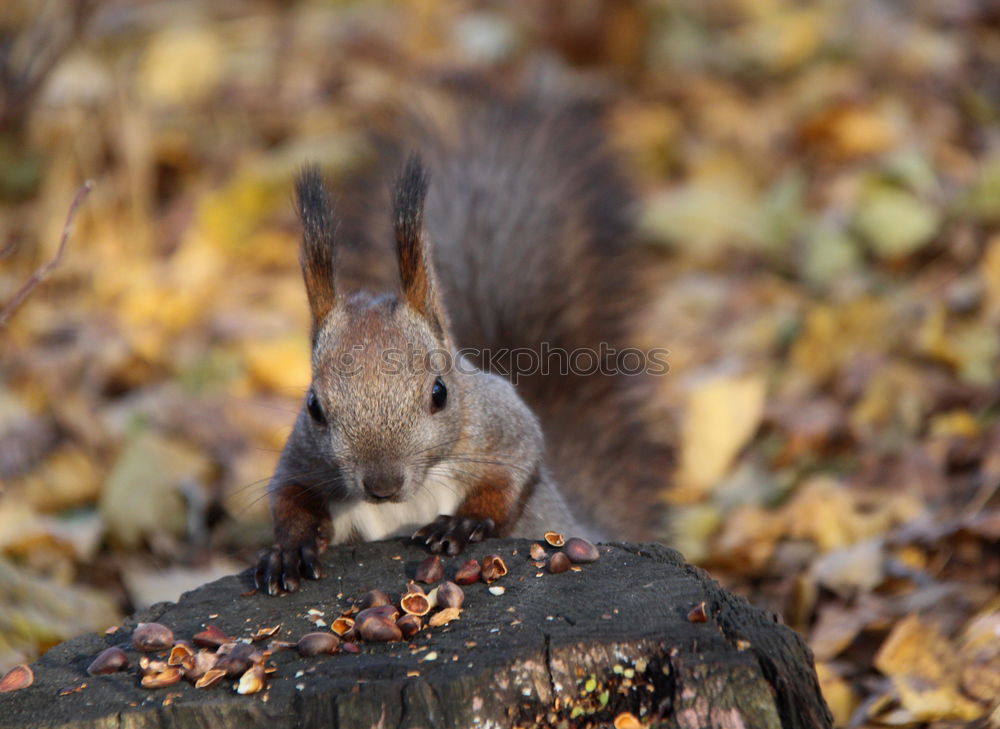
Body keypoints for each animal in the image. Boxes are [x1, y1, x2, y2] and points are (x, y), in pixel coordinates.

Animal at [256, 92, 672, 592]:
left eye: (440, 393)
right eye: (315, 407)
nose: (382, 485)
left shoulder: (502, 425)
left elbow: (511, 474)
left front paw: (465, 523)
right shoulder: (303, 457)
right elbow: (288, 494)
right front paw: (289, 547)